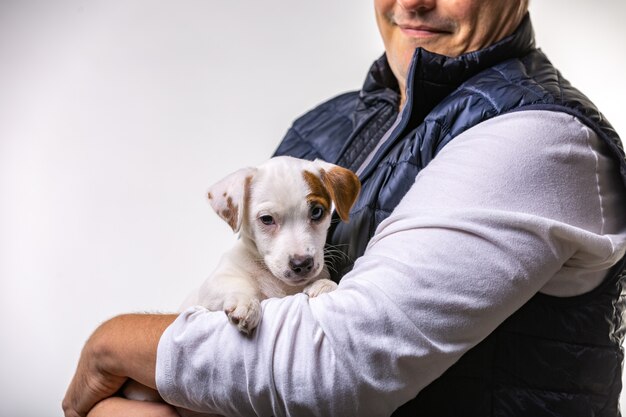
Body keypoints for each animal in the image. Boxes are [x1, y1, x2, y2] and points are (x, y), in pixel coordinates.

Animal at [180, 154, 358, 334]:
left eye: (317, 212)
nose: (302, 264)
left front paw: (325, 285)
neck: (280, 284)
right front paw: (246, 301)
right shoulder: (210, 288)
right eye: (266, 219)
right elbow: (235, 285)